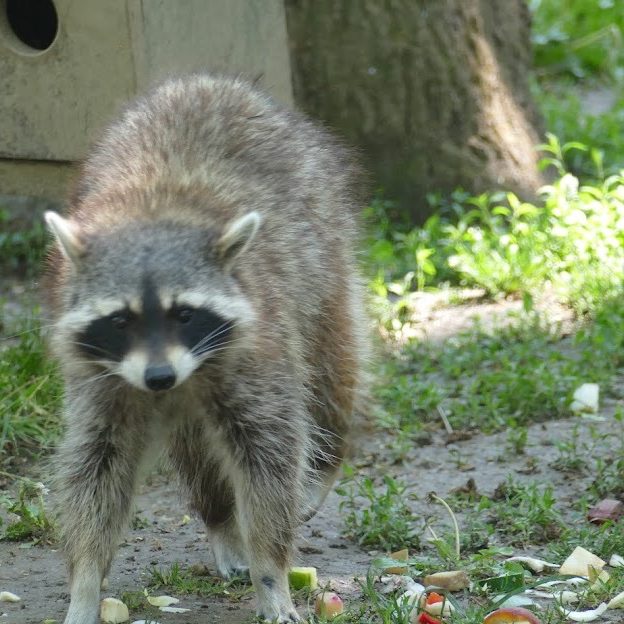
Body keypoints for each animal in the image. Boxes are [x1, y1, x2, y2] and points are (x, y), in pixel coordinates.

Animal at [45, 74, 366, 624]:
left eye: (185, 314)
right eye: (121, 320)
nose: (159, 378)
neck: (151, 209)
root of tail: (206, 82)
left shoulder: (259, 348)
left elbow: (270, 457)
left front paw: (271, 573)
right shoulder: (101, 379)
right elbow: (97, 466)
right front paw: (84, 582)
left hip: (325, 254)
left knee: (330, 374)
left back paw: (322, 465)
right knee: (197, 454)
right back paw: (220, 522)